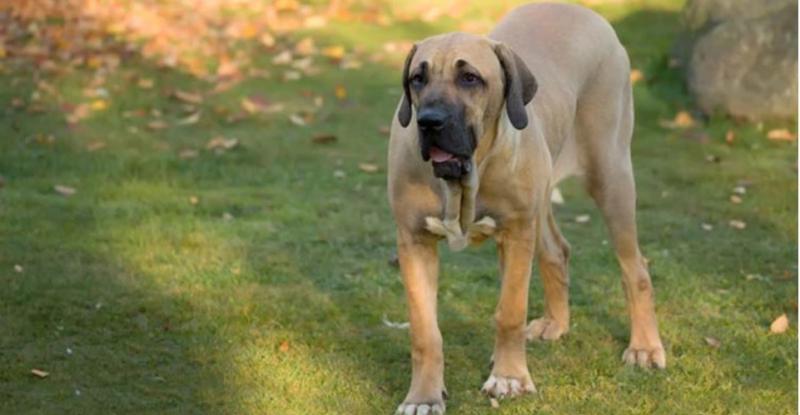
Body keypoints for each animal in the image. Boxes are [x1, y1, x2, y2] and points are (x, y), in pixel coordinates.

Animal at [386, 1, 664, 414]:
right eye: (417, 78)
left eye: (470, 78)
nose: (429, 121)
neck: (464, 181)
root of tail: (585, 13)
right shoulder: (414, 239)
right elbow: (424, 331)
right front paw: (423, 395)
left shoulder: (516, 234)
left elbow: (510, 312)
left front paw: (510, 378)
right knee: (557, 251)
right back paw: (555, 323)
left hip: (611, 175)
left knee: (635, 269)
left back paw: (644, 346)